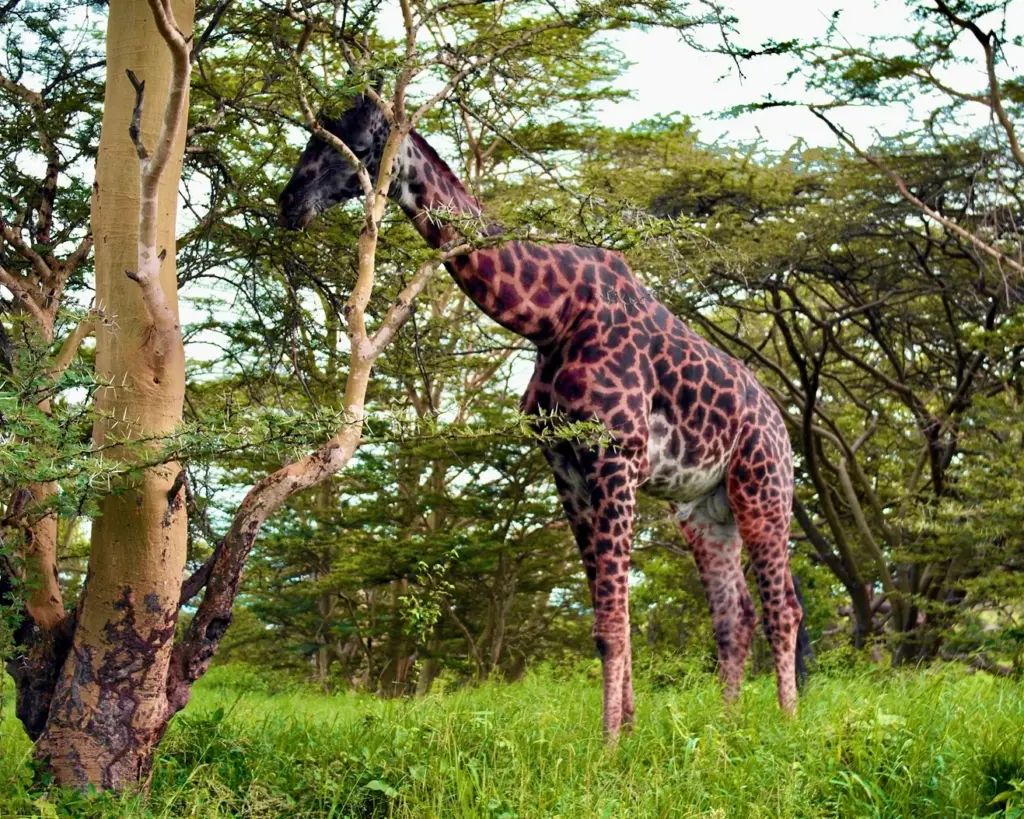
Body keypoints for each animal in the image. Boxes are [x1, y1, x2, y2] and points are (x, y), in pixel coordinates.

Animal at [278, 92, 808, 738]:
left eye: (350, 141)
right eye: (315, 135)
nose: (288, 203)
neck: (550, 317)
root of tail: (781, 424)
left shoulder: (615, 459)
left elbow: (612, 623)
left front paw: (610, 745)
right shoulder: (567, 468)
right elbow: (609, 620)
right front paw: (629, 732)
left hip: (763, 489)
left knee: (784, 607)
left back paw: (787, 724)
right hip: (705, 509)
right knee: (735, 615)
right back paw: (727, 730)